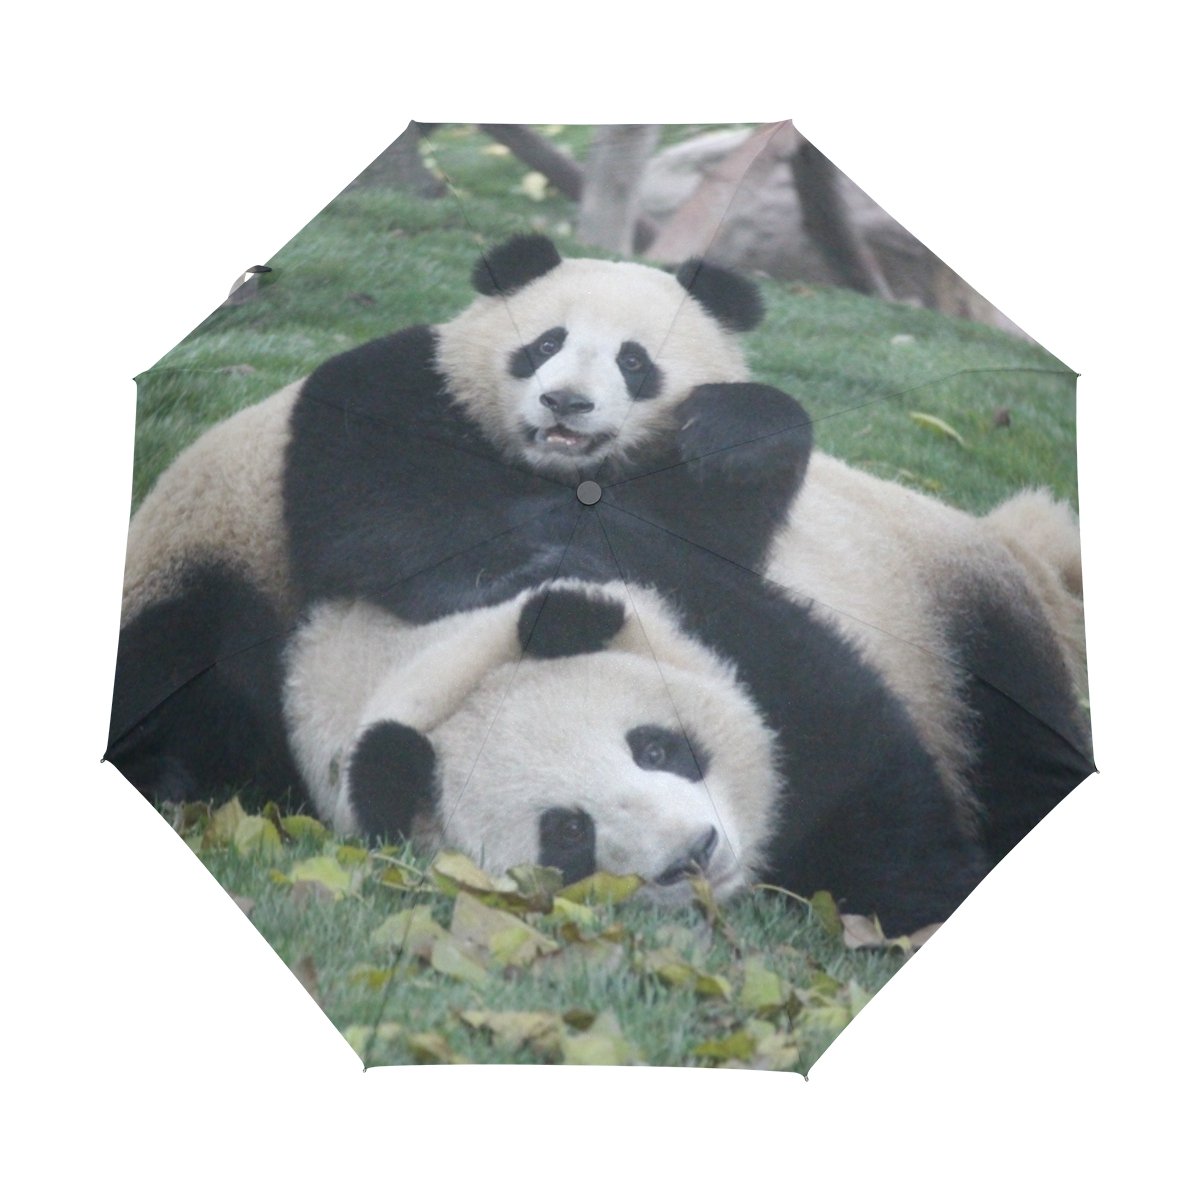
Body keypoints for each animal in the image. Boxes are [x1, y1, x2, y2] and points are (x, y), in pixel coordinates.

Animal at [107, 234, 811, 804]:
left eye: (633, 361)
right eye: (546, 343)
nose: (565, 402)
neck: (554, 472)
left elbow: (707, 539)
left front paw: (735, 433)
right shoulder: (403, 389)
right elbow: (379, 519)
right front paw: (531, 567)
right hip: (201, 558)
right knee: (183, 657)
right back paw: (171, 772)